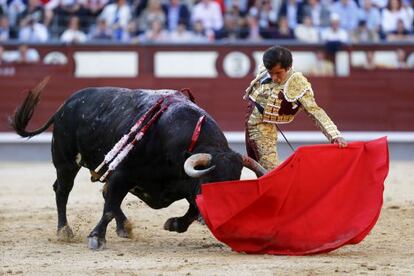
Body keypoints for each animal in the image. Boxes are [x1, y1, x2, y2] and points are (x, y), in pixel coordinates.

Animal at [12, 78, 268, 249]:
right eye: (209, 181)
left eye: (235, 183)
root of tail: (64, 106)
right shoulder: (122, 174)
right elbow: (108, 206)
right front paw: (96, 237)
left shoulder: (184, 185)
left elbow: (193, 208)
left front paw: (174, 224)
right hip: (65, 161)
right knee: (63, 190)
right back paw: (65, 231)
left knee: (103, 194)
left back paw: (124, 227)